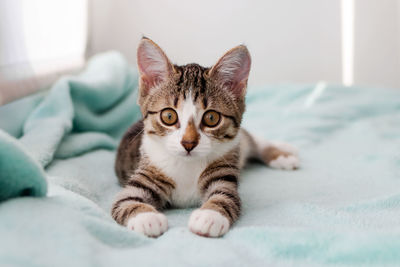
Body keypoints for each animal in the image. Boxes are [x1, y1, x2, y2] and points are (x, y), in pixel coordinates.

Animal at [111, 38, 298, 239]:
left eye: (211, 118)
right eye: (168, 116)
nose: (188, 143)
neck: (187, 165)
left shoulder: (224, 170)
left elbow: (225, 196)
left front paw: (210, 216)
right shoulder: (146, 172)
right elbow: (125, 199)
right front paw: (146, 218)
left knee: (249, 138)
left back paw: (282, 154)